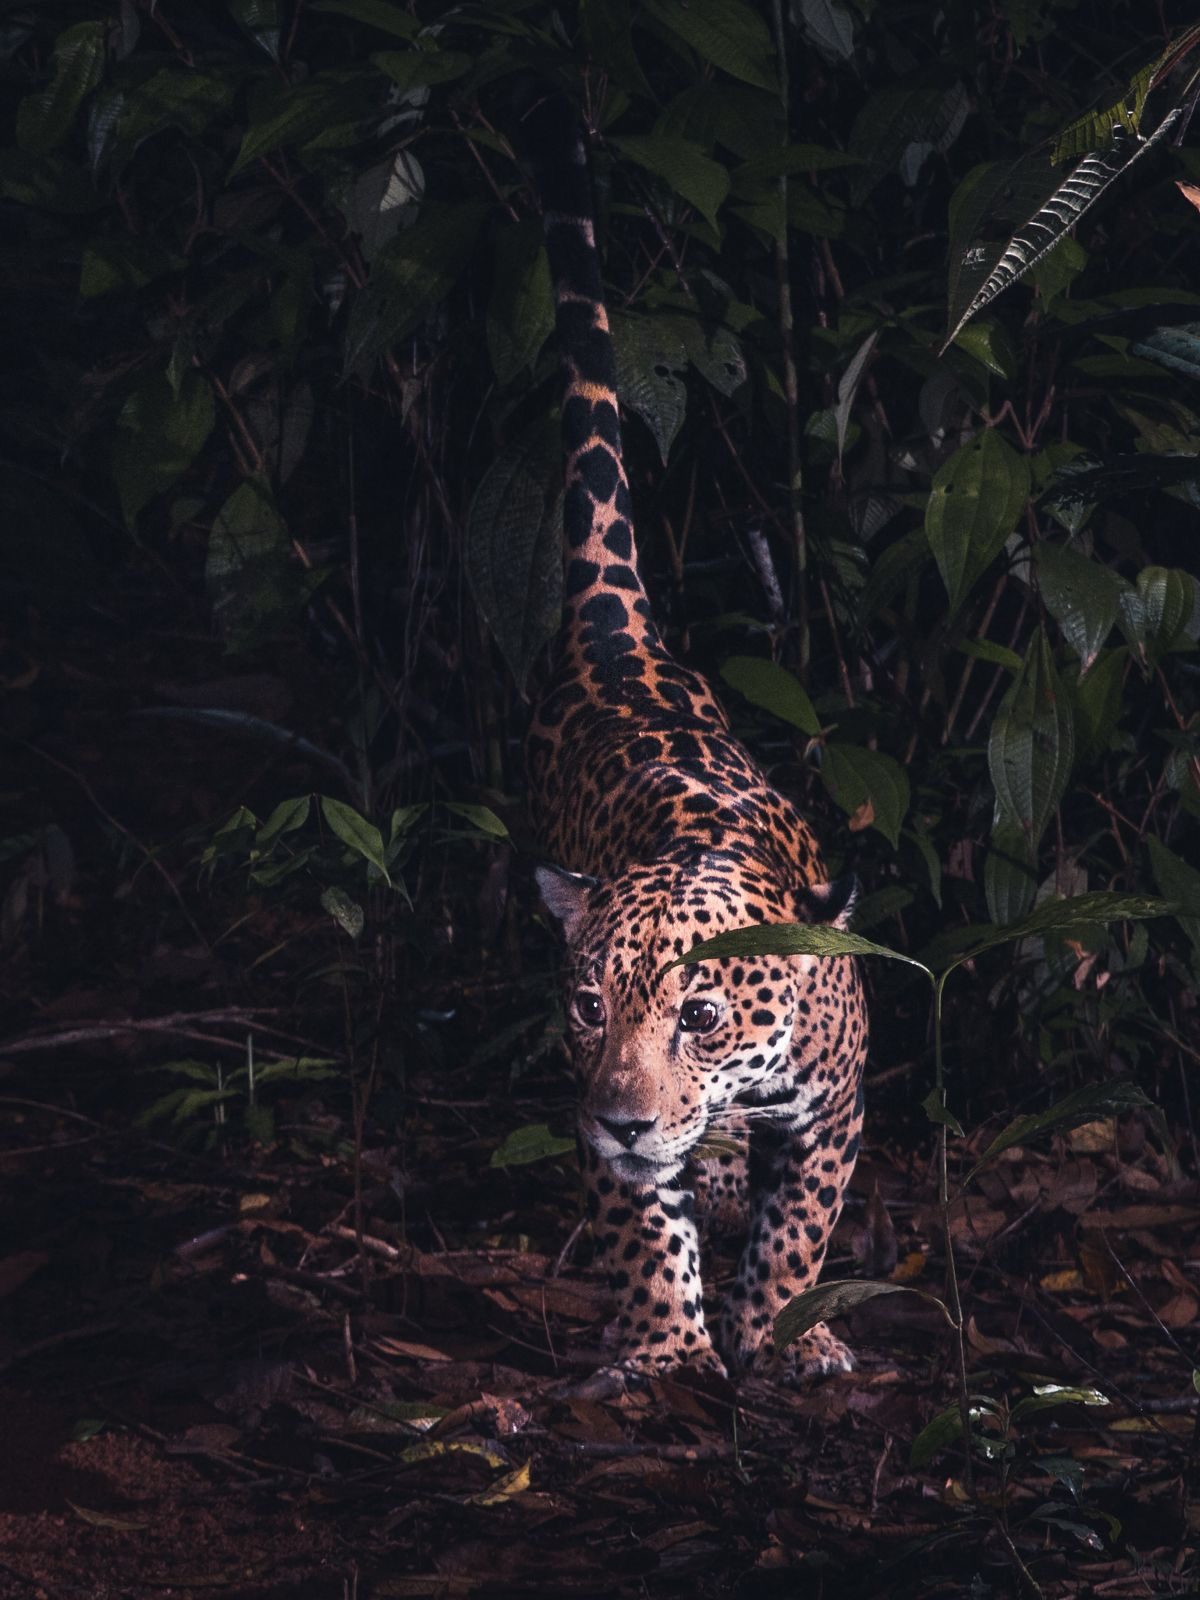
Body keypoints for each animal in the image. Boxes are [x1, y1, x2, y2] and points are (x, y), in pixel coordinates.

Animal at [520, 96, 868, 1383]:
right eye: (586, 1006)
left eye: (700, 1016)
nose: (623, 1116)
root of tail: (619, 639)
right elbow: (637, 1223)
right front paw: (668, 1349)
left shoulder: (832, 1109)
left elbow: (800, 1224)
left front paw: (779, 1332)